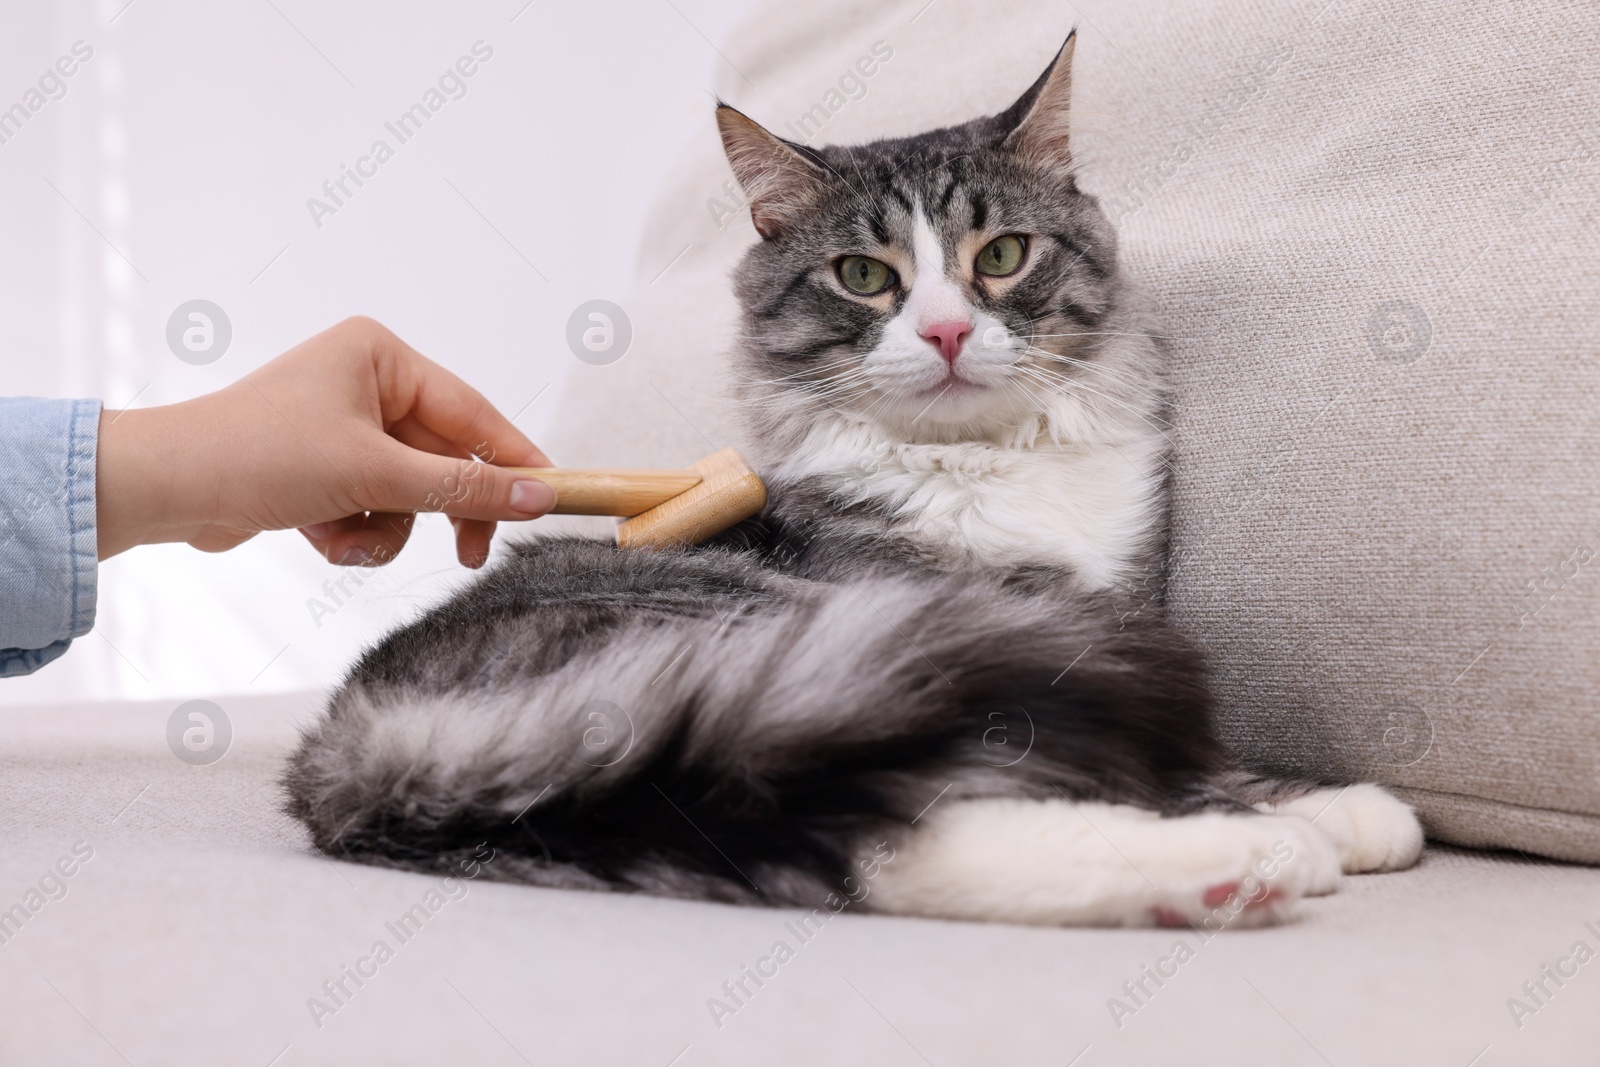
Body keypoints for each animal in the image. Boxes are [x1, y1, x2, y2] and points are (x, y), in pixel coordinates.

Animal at [281, 33, 1420, 927]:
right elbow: (1178, 756)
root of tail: (356, 740)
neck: (984, 464)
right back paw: (1238, 863)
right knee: (898, 827)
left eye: (1001, 255)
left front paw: (1316, 802)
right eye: (865, 277)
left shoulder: (1102, 610)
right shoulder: (999, 621)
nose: (948, 331)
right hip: (798, 652)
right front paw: (1313, 809)